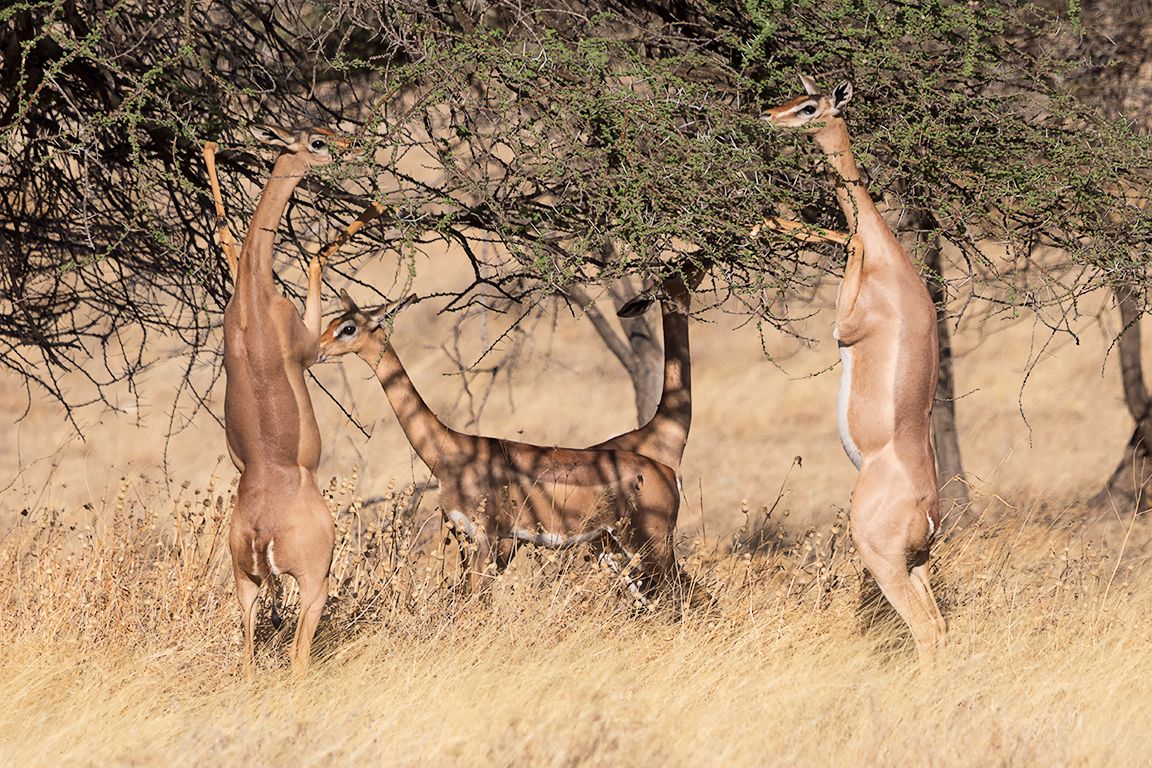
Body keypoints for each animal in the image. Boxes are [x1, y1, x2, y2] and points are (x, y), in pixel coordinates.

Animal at [318, 291, 688, 601]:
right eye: (331, 322)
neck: (450, 452)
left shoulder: (488, 538)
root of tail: (666, 472)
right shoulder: (470, 539)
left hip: (649, 544)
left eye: (348, 328)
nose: (319, 349)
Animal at [761, 76, 947, 660]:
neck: (895, 262)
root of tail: (929, 512)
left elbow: (852, 243)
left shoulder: (842, 328)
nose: (769, 115)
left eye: (809, 106)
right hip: (918, 564)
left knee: (925, 632)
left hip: (882, 559)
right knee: (942, 629)